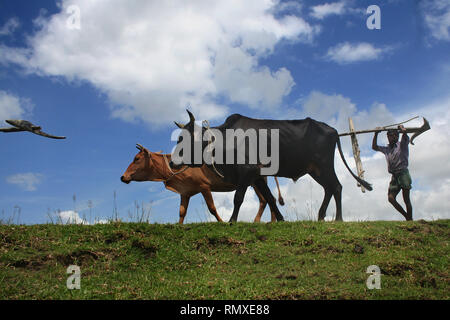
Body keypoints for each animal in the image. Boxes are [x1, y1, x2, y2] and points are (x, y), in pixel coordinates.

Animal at [121, 144, 284, 224]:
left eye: (136, 159)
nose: (123, 177)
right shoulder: (185, 192)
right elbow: (182, 212)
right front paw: (179, 226)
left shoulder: (204, 187)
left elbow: (212, 208)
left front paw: (221, 222)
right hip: (257, 182)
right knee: (267, 199)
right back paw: (268, 221)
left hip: (256, 181)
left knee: (266, 199)